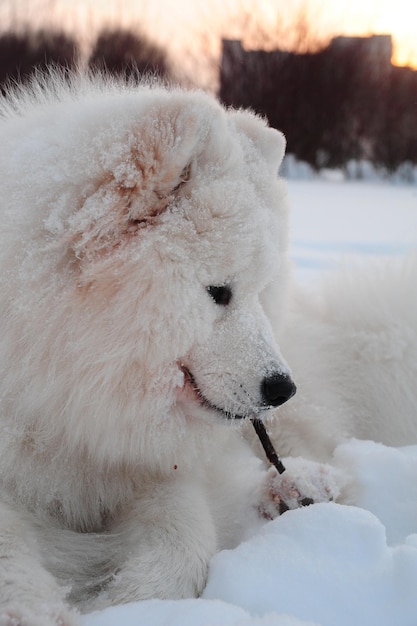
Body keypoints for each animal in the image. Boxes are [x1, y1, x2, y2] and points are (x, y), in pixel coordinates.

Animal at [0, 74, 414, 624]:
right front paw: (41, 609)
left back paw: (299, 486)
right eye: (220, 292)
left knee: (315, 444)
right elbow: (11, 552)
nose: (282, 388)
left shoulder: (159, 470)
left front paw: (123, 600)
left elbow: (187, 543)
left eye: (260, 291)